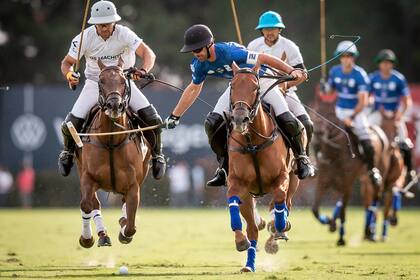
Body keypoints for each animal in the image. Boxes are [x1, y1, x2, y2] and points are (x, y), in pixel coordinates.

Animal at [75, 58, 151, 247]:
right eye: (101, 81)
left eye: (123, 80)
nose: (114, 105)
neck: (110, 141)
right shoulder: (88, 176)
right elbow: (86, 204)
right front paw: (86, 238)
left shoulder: (133, 185)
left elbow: (131, 225)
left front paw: (124, 231)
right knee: (94, 204)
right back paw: (102, 235)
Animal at [225, 64, 296, 272]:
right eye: (232, 85)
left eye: (255, 87)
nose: (239, 119)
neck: (253, 143)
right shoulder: (237, 182)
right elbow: (233, 204)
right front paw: (240, 240)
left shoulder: (282, 176)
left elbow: (280, 199)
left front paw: (279, 227)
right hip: (249, 196)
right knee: (253, 228)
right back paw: (249, 264)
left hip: (295, 178)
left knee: (285, 203)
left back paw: (276, 234)